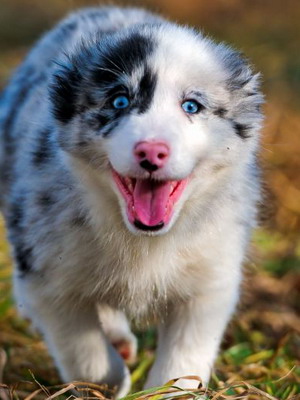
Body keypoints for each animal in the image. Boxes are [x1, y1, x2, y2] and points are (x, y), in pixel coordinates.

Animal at [0, 6, 262, 396]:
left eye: (191, 106)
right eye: (119, 101)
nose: (151, 151)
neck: (142, 242)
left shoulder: (211, 281)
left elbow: (183, 363)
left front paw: (164, 391)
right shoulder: (45, 278)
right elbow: (86, 352)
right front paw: (106, 385)